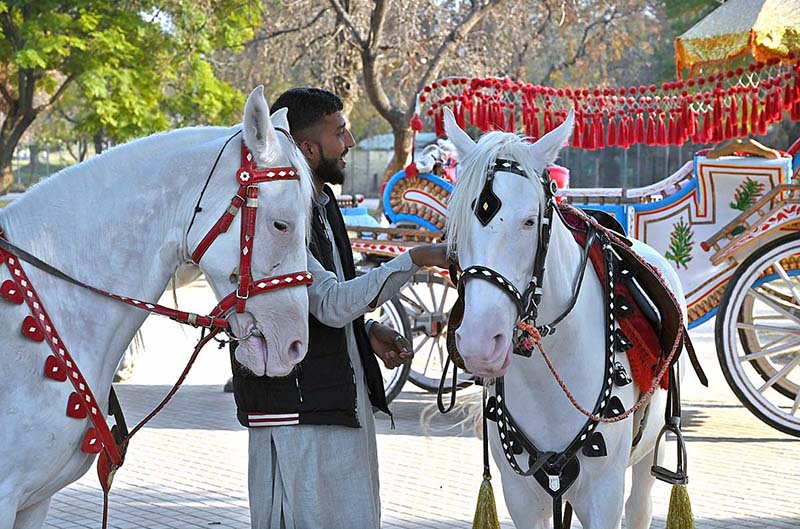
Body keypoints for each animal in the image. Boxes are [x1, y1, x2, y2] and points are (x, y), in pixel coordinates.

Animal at [440, 108, 696, 528]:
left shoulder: (603, 495)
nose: (479, 342)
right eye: (457, 225)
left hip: (647, 458)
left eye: (530, 221)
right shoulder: (521, 497)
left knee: (640, 507)